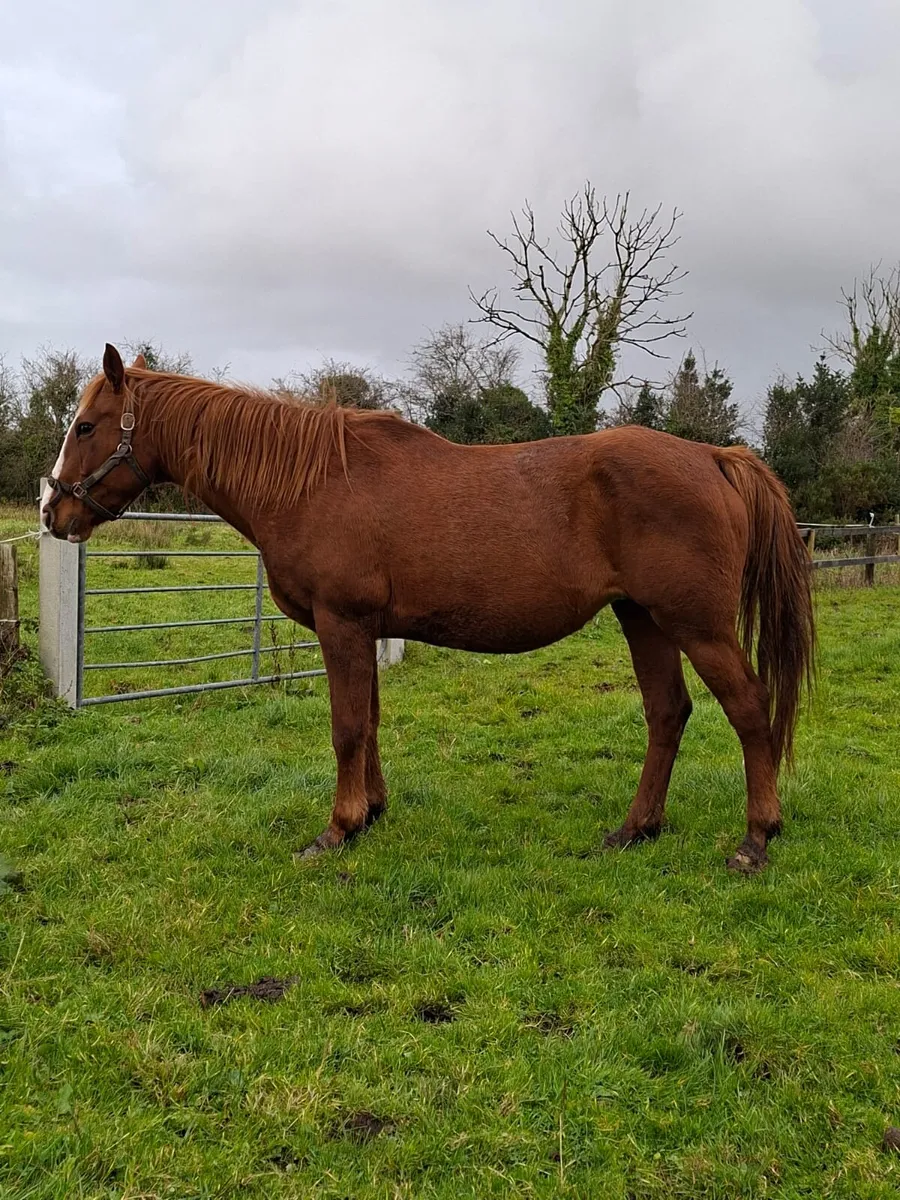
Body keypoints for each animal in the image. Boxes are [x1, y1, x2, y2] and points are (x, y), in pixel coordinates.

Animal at [42, 344, 814, 873]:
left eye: (86, 426)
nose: (53, 513)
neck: (312, 482)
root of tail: (714, 457)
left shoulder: (342, 624)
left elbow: (347, 728)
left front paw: (337, 828)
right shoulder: (363, 630)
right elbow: (371, 722)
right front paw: (372, 813)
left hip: (696, 626)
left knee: (749, 711)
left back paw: (756, 838)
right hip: (642, 619)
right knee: (667, 713)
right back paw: (635, 829)